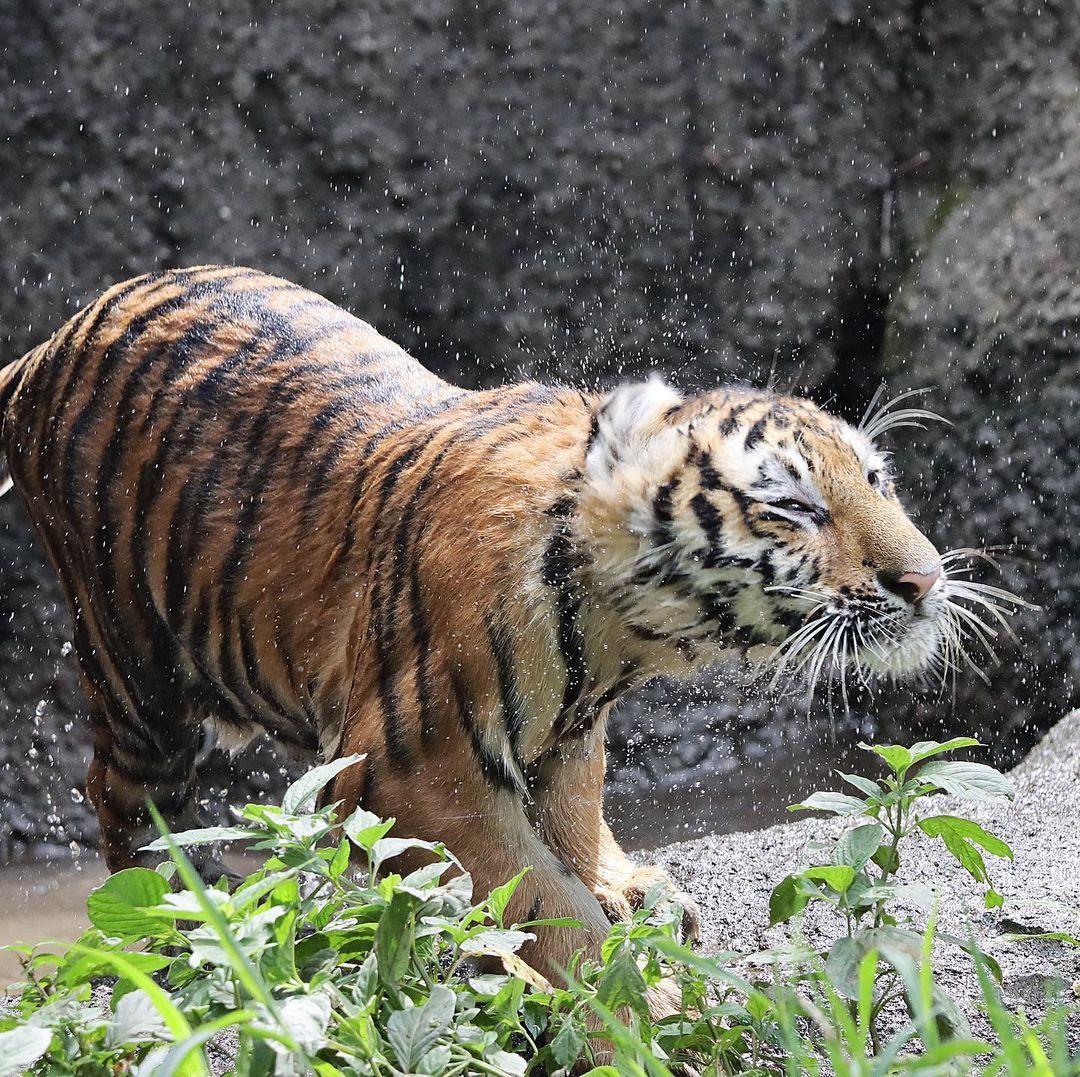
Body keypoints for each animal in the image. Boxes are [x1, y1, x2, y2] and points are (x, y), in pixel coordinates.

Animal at [0, 264, 993, 1002]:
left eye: (877, 479)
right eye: (794, 507)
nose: (926, 579)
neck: (623, 636)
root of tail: (46, 345)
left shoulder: (566, 736)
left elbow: (573, 825)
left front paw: (627, 897)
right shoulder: (415, 768)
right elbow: (539, 897)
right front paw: (632, 1007)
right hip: (135, 665)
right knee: (129, 805)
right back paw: (189, 927)